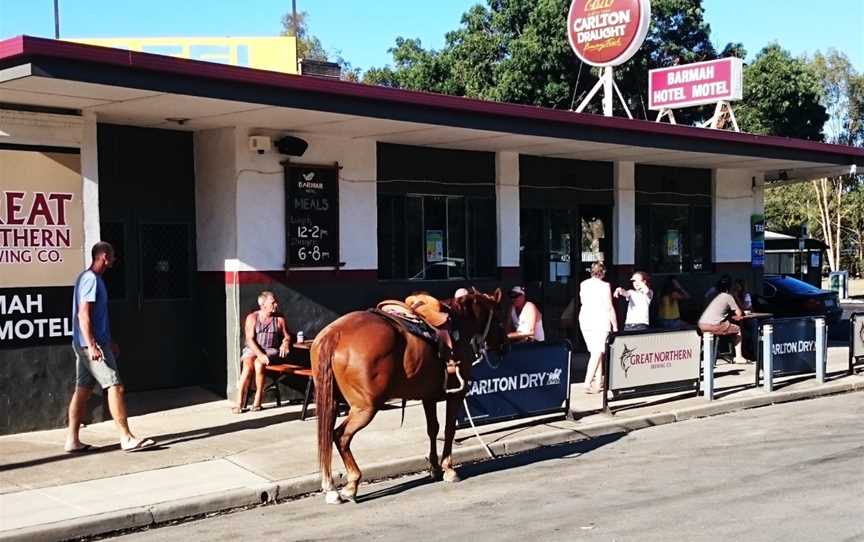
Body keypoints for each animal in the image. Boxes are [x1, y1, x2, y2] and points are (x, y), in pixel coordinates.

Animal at [312, 288, 506, 506]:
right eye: (500, 318)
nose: (505, 347)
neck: (459, 326)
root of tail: (334, 334)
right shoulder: (455, 395)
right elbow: (449, 430)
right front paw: (448, 469)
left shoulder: (429, 397)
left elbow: (433, 429)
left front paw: (435, 468)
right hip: (365, 408)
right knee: (341, 436)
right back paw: (351, 485)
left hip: (331, 401)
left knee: (327, 436)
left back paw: (331, 488)